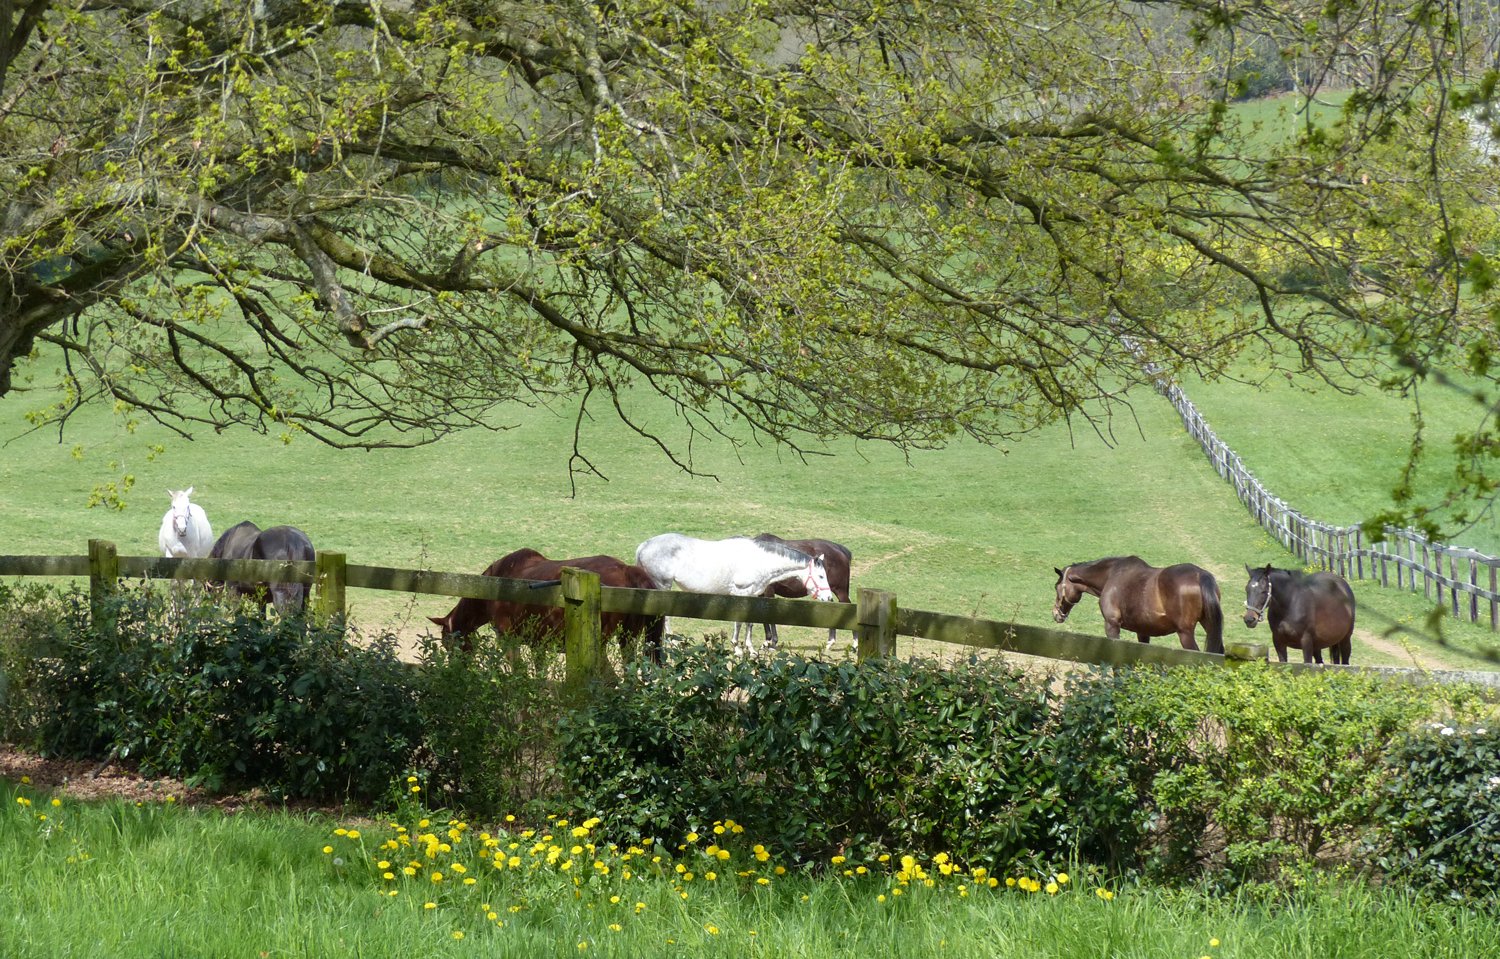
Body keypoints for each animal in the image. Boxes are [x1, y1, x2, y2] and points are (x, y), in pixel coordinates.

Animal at [428, 549, 665, 662]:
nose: (456, 667)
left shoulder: (508, 639)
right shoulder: (538, 646)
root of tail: (627, 570)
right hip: (627, 640)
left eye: (447, 644)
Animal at [635, 532, 836, 656]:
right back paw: (670, 642)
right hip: (663, 586)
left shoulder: (752, 596)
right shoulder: (741, 593)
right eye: (821, 576)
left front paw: (750, 649)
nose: (828, 597)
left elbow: (749, 623)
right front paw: (737, 648)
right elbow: (739, 622)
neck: (759, 561)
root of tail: (644, 545)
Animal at [1053, 555, 1225, 654]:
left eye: (1056, 586)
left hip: (1185, 634)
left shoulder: (1112, 626)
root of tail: (1200, 575)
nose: (1056, 614)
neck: (1111, 575)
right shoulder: (1143, 631)